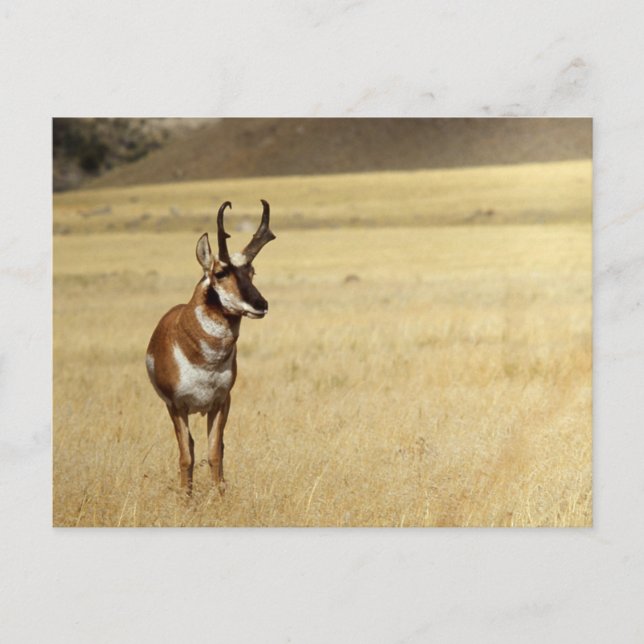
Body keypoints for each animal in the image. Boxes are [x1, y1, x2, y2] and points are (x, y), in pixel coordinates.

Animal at [146, 200, 275, 493]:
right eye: (220, 272)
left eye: (251, 272)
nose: (261, 304)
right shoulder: (177, 406)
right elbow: (186, 456)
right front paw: (186, 497)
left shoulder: (221, 402)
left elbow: (215, 452)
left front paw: (219, 494)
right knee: (190, 448)